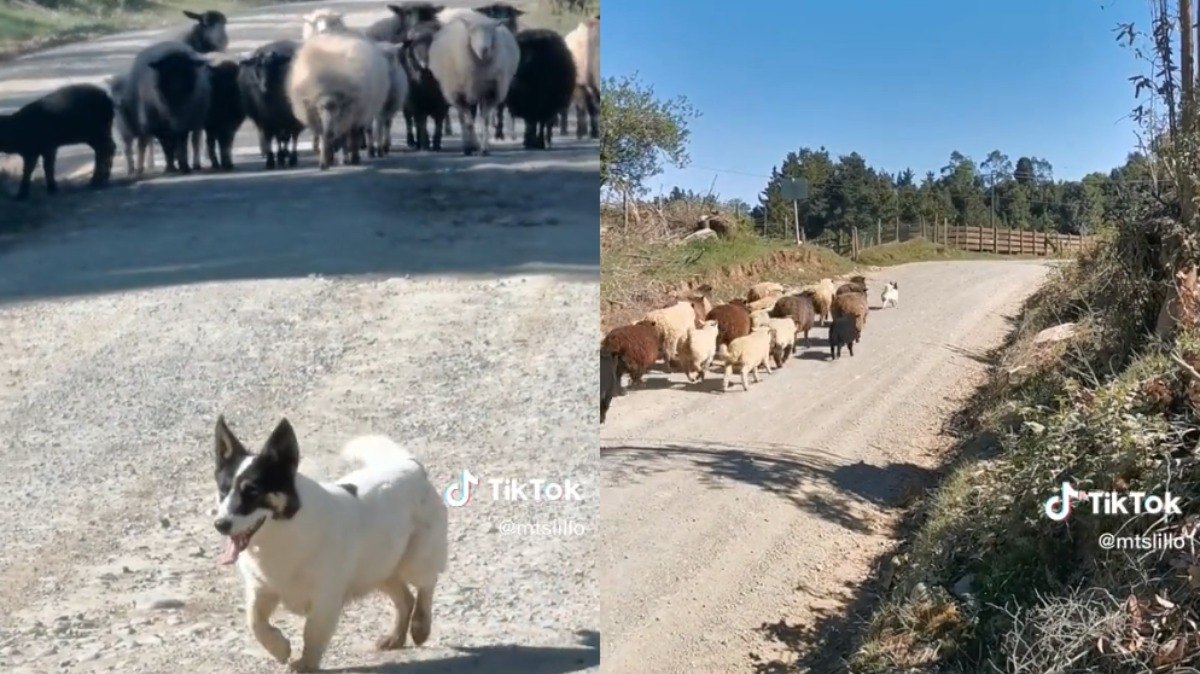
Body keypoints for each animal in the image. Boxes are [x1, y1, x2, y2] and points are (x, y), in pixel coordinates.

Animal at [120, 38, 212, 176]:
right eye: (165, 72)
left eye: (186, 70)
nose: (177, 87)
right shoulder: (159, 127)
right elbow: (167, 147)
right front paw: (171, 167)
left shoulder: (183, 122)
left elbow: (181, 144)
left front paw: (184, 166)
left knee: (193, 141)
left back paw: (192, 164)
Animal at [213, 417, 448, 666]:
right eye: (223, 491)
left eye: (253, 491)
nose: (220, 524)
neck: (284, 533)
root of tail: (411, 466)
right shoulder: (261, 590)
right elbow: (255, 622)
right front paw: (280, 648)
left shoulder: (325, 600)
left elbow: (312, 635)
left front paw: (305, 665)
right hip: (377, 569)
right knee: (405, 598)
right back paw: (395, 637)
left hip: (416, 559)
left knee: (426, 584)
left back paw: (421, 626)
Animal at [285, 30, 388, 169]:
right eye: (319, 108)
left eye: (336, 109)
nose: (330, 131)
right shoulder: (319, 119)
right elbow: (324, 138)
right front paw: (324, 162)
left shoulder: (349, 115)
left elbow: (349, 137)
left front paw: (348, 158)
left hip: (357, 114)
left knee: (351, 136)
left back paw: (351, 157)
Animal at [429, 12, 518, 154]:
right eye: (472, 32)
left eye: (492, 31)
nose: (484, 49)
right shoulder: (460, 96)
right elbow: (469, 123)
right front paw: (471, 147)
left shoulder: (489, 94)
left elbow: (485, 121)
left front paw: (484, 149)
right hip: (459, 94)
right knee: (463, 119)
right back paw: (468, 144)